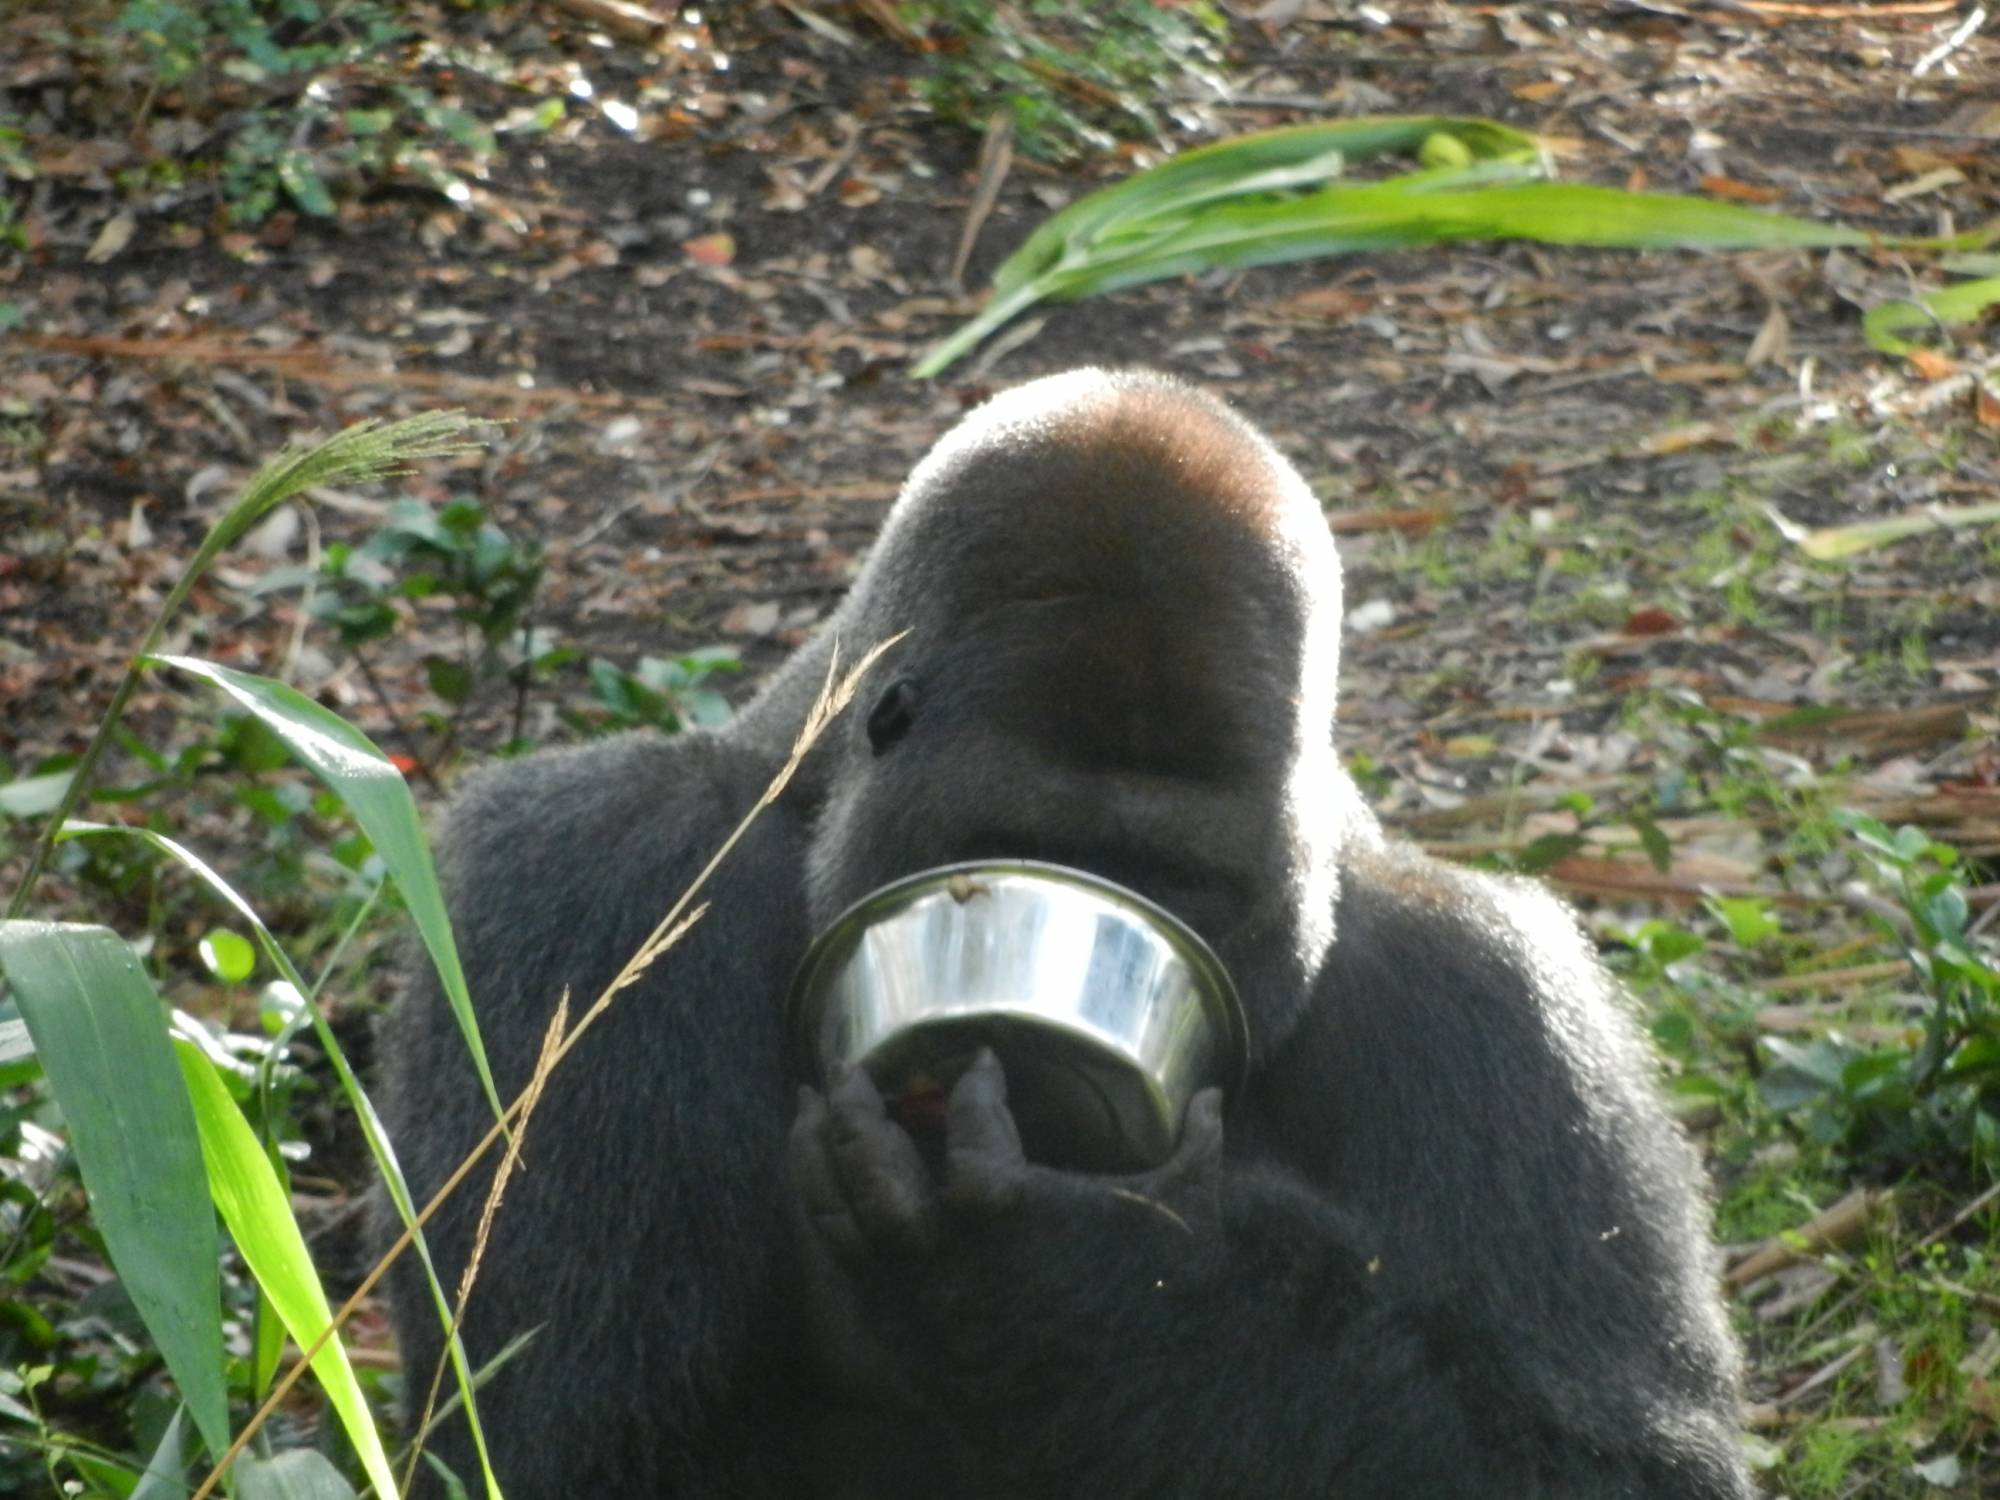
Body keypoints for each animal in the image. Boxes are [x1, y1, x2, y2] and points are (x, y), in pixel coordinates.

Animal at [378, 370, 1752, 1496]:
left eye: (1179, 882)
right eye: (1023, 842)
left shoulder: (1490, 1004)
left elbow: (1591, 1464)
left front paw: (1083, 1267)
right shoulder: (590, 881)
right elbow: (593, 1438)